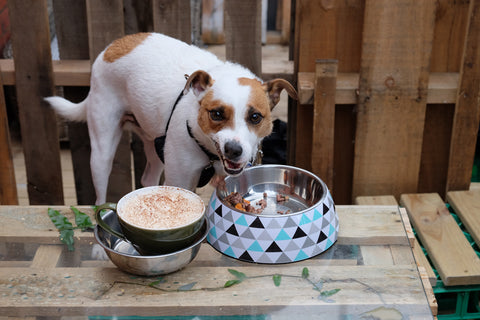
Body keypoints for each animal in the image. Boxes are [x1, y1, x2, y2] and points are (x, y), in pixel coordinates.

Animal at [47, 32, 298, 205]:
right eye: (216, 114)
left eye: (255, 117)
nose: (234, 150)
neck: (210, 154)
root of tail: (112, 47)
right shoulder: (180, 180)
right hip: (102, 152)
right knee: (99, 196)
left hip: (156, 145)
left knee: (148, 179)